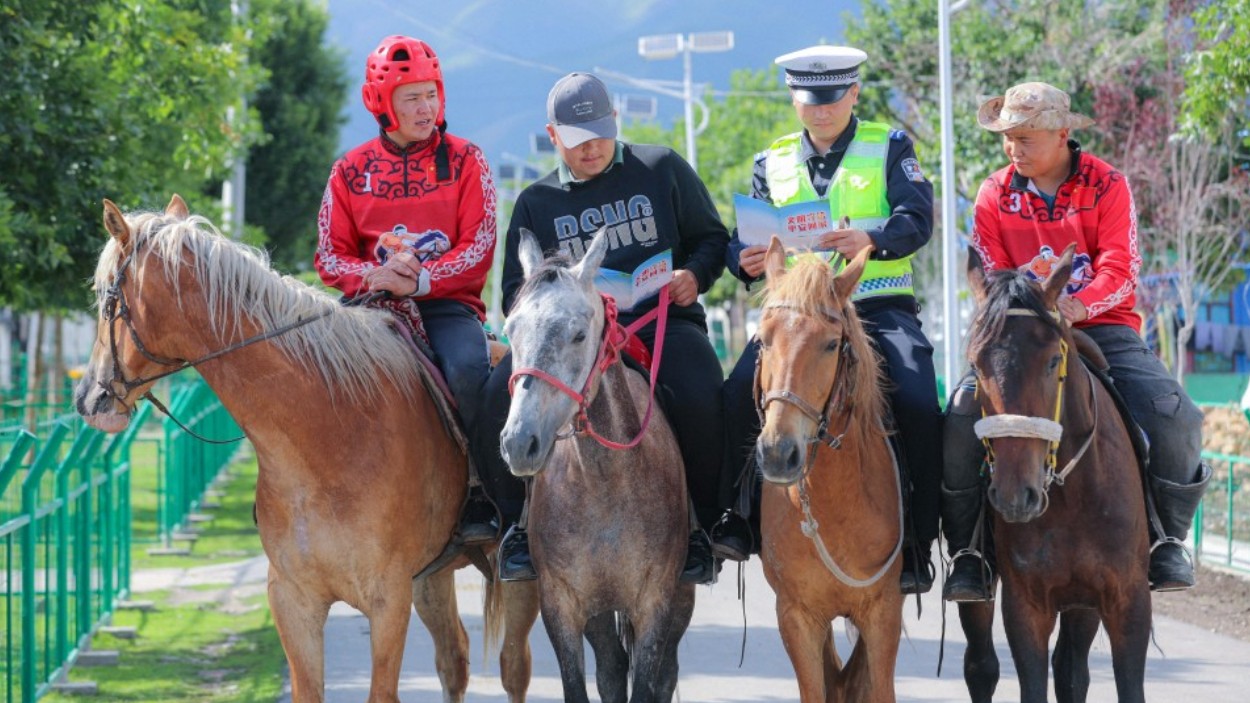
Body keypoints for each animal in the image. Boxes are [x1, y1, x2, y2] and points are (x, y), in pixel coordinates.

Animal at [73, 195, 540, 703]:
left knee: (514, 667)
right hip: (433, 576)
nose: (88, 399)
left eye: (105, 299)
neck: (326, 438)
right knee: (454, 658)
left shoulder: (388, 600)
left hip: (512, 577)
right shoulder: (294, 601)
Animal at [498, 229, 695, 703]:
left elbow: (648, 685)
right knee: (610, 667)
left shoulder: (656, 601)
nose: (519, 443)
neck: (604, 482)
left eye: (577, 334)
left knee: (665, 674)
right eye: (511, 331)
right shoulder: (562, 603)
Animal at [954, 244, 1151, 703]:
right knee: (981, 666)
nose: (1014, 495)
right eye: (976, 363)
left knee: (1071, 670)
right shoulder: (1027, 606)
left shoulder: (1127, 601)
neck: (1073, 495)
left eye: (1051, 362)